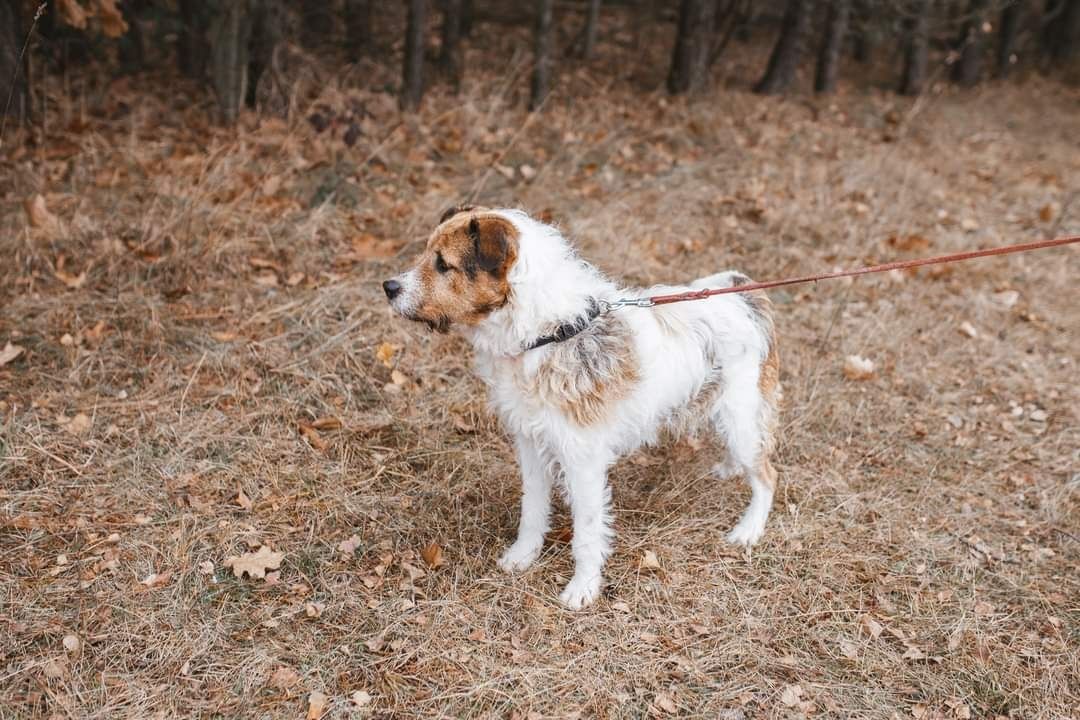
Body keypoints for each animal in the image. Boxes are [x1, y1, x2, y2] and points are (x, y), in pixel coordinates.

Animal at [384, 207, 781, 608]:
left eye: (443, 264)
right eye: (427, 254)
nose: (388, 287)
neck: (546, 334)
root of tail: (744, 292)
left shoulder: (583, 460)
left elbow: (587, 531)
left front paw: (583, 587)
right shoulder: (531, 445)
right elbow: (532, 508)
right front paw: (523, 555)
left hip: (742, 418)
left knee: (767, 474)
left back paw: (748, 529)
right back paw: (729, 469)